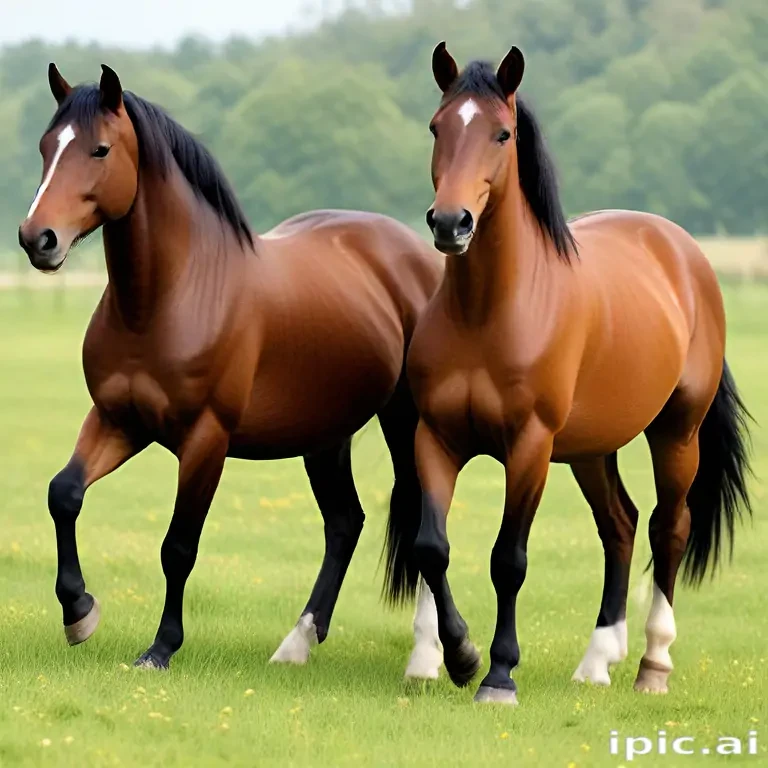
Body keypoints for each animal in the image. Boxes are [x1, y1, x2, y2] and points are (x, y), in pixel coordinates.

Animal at [17, 63, 445, 677]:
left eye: (99, 149)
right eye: (47, 146)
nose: (38, 239)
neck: (166, 298)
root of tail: (413, 252)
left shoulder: (205, 441)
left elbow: (178, 547)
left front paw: (160, 647)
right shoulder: (119, 420)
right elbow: (64, 494)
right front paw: (79, 612)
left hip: (406, 422)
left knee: (423, 516)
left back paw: (426, 655)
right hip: (324, 437)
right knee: (345, 524)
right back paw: (298, 642)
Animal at [394, 43, 752, 705]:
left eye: (502, 134)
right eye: (437, 127)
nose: (450, 223)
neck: (488, 312)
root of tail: (682, 252)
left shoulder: (530, 447)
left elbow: (508, 559)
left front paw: (499, 674)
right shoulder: (436, 438)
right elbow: (432, 547)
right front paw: (458, 655)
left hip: (676, 434)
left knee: (669, 528)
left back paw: (652, 667)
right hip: (591, 449)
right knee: (621, 526)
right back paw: (596, 662)